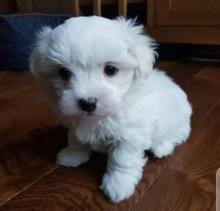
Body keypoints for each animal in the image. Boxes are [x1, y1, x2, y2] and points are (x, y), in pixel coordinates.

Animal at [29, 15, 191, 204]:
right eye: (63, 73)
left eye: (111, 70)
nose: (87, 103)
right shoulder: (75, 122)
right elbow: (75, 139)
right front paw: (72, 155)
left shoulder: (130, 135)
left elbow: (122, 159)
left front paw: (119, 185)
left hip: (178, 124)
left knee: (176, 136)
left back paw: (161, 148)